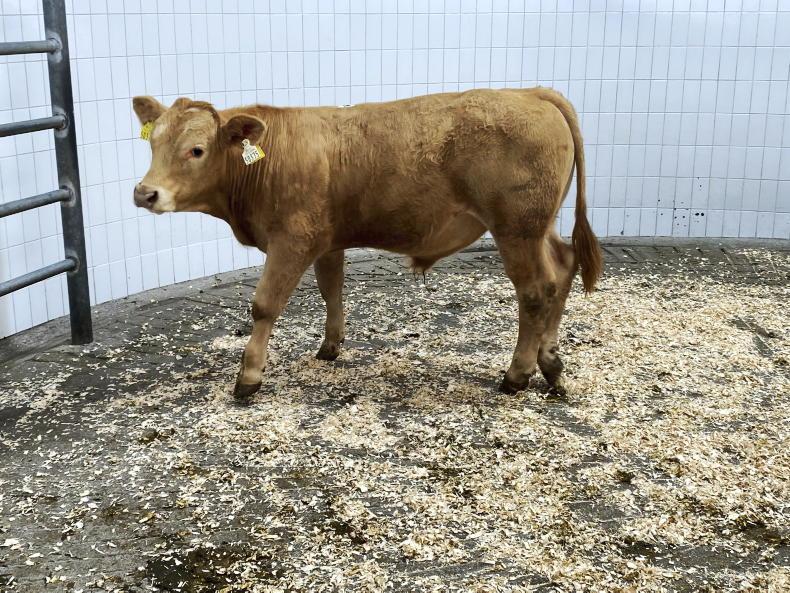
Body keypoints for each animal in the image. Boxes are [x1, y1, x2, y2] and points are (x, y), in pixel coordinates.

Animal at [131, 88, 602, 400]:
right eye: (153, 143)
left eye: (196, 150)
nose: (144, 193)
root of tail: (530, 93)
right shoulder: (326, 241)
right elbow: (332, 290)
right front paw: (330, 347)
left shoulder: (291, 240)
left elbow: (264, 305)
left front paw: (249, 377)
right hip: (540, 227)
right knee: (563, 268)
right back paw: (551, 363)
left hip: (516, 228)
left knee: (536, 291)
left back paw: (517, 374)